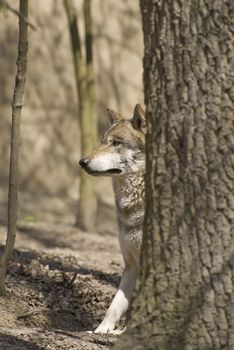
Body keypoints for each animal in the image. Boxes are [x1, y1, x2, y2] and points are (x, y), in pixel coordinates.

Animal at [79, 103, 145, 334]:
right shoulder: (131, 265)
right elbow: (114, 305)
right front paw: (101, 331)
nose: (82, 162)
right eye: (101, 142)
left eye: (116, 143)